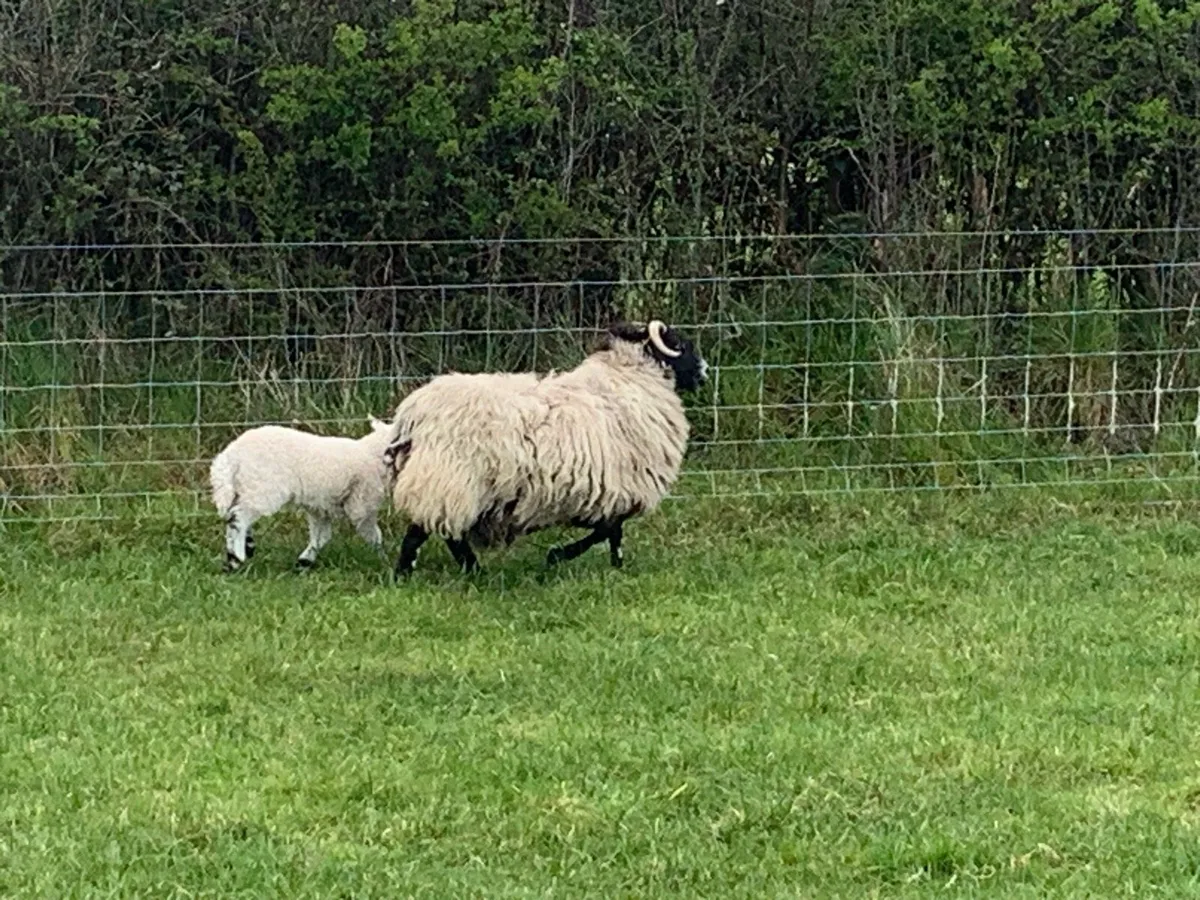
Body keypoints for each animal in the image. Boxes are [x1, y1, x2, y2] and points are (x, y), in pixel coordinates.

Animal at [210, 416, 397, 572]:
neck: (372, 454)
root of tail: (231, 455)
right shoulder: (362, 504)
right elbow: (374, 535)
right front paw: (383, 559)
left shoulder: (320, 507)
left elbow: (321, 537)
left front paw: (304, 562)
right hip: (262, 488)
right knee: (238, 517)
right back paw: (237, 556)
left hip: (244, 488)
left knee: (232, 515)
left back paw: (237, 554)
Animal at [385, 319, 707, 577]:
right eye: (679, 344)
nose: (704, 372)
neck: (631, 379)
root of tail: (412, 415)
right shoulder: (619, 488)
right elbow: (608, 531)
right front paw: (559, 556)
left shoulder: (612, 492)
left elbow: (612, 533)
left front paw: (615, 567)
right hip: (449, 480)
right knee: (430, 533)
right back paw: (417, 574)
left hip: (446, 483)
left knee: (443, 533)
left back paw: (466, 571)